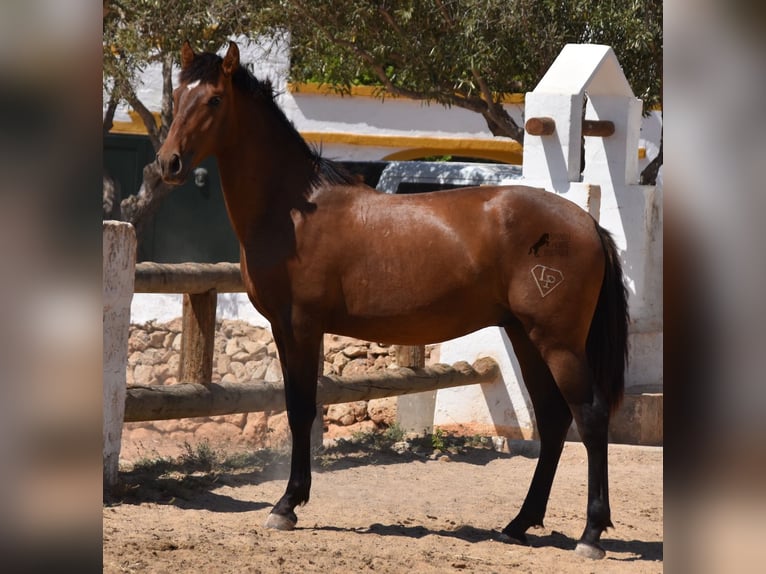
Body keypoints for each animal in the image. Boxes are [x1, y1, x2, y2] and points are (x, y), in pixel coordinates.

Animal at [158, 41, 632, 564]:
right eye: (177, 95)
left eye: (214, 100)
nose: (168, 164)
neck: (292, 212)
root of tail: (587, 223)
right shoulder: (286, 328)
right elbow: (297, 406)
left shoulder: (300, 326)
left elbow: (301, 410)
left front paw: (286, 505)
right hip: (526, 338)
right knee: (553, 420)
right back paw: (519, 524)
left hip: (558, 343)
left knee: (590, 418)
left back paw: (590, 534)